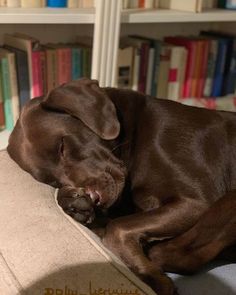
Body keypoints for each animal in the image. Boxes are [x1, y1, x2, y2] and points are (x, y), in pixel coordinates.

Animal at [7, 78, 236, 295]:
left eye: (62, 146)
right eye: (52, 181)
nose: (95, 199)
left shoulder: (196, 201)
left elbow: (117, 228)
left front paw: (151, 276)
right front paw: (75, 204)